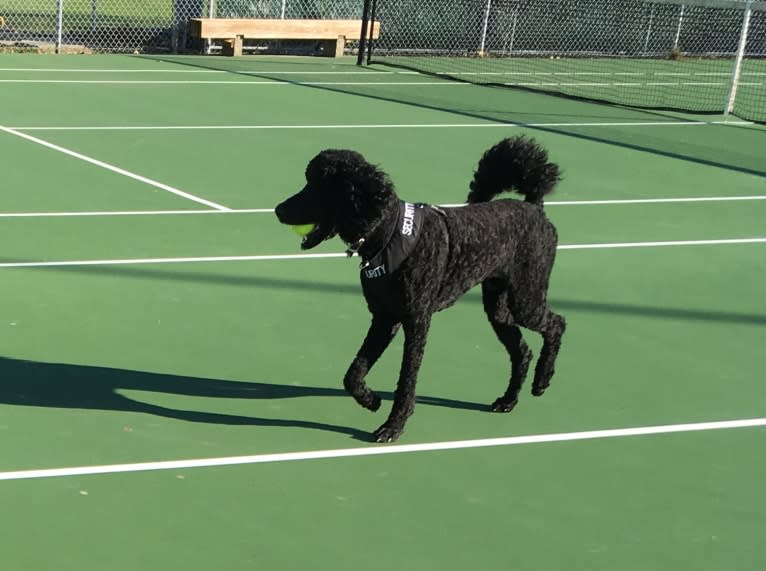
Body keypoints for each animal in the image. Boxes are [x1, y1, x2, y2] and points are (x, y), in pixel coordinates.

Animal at [280, 135, 568, 442]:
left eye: (319, 185)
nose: (278, 209)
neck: (389, 235)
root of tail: (534, 207)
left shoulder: (416, 322)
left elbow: (407, 379)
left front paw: (393, 425)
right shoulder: (384, 318)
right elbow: (353, 373)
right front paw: (370, 400)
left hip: (526, 297)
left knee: (557, 324)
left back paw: (542, 379)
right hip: (499, 306)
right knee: (522, 351)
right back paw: (509, 399)